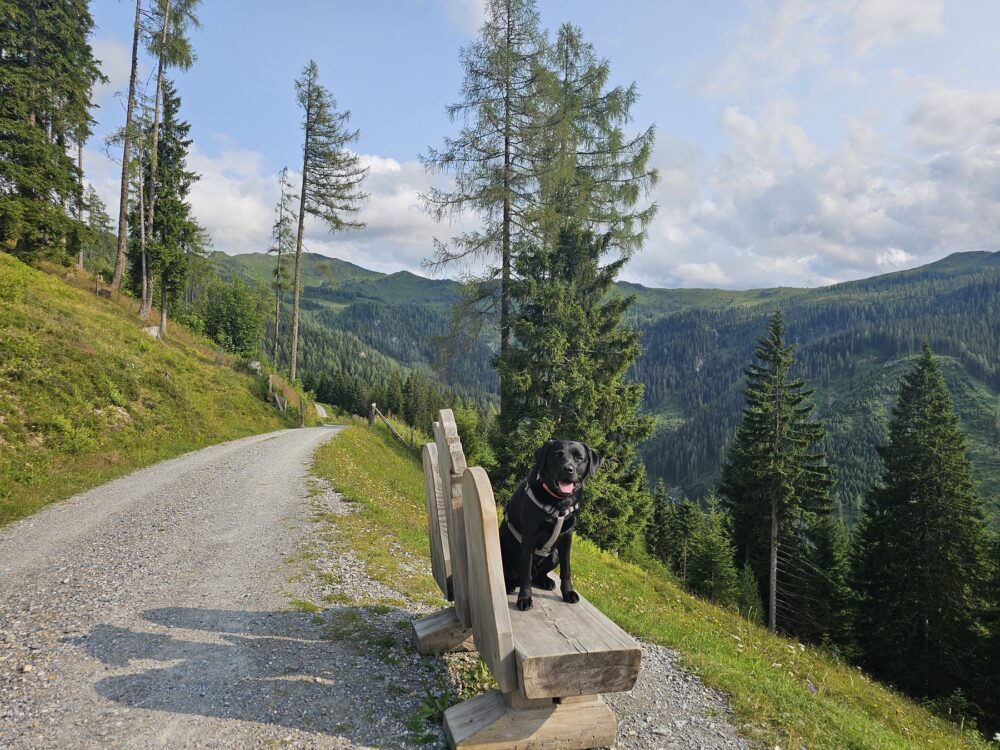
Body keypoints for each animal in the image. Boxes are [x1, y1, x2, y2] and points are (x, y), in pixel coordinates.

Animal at [500, 440, 600, 612]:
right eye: (557, 455)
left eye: (579, 458)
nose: (568, 469)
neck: (559, 502)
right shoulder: (529, 535)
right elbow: (525, 572)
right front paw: (525, 598)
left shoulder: (567, 535)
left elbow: (566, 569)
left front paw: (568, 592)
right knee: (519, 575)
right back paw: (509, 585)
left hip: (554, 555)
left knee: (537, 575)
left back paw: (545, 581)